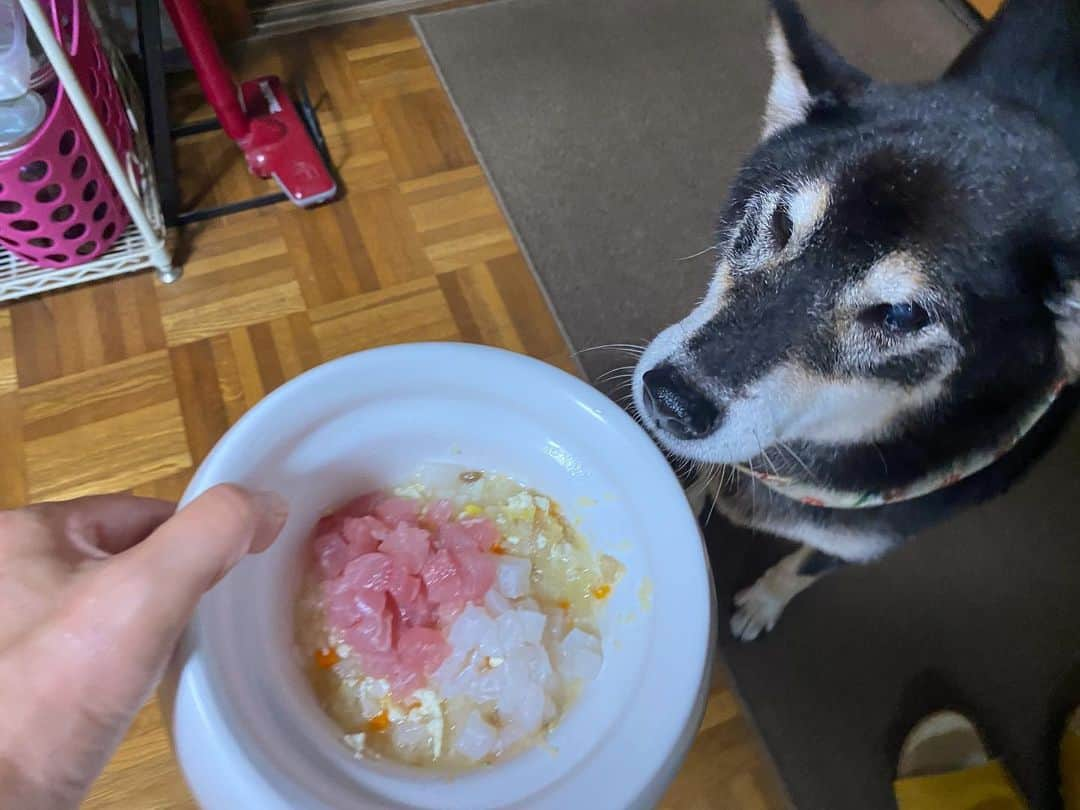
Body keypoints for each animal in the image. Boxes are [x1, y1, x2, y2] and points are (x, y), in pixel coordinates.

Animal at [630, 1, 1080, 639]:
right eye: (780, 223)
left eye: (900, 315)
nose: (672, 400)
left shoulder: (865, 539)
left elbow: (805, 567)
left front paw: (764, 601)